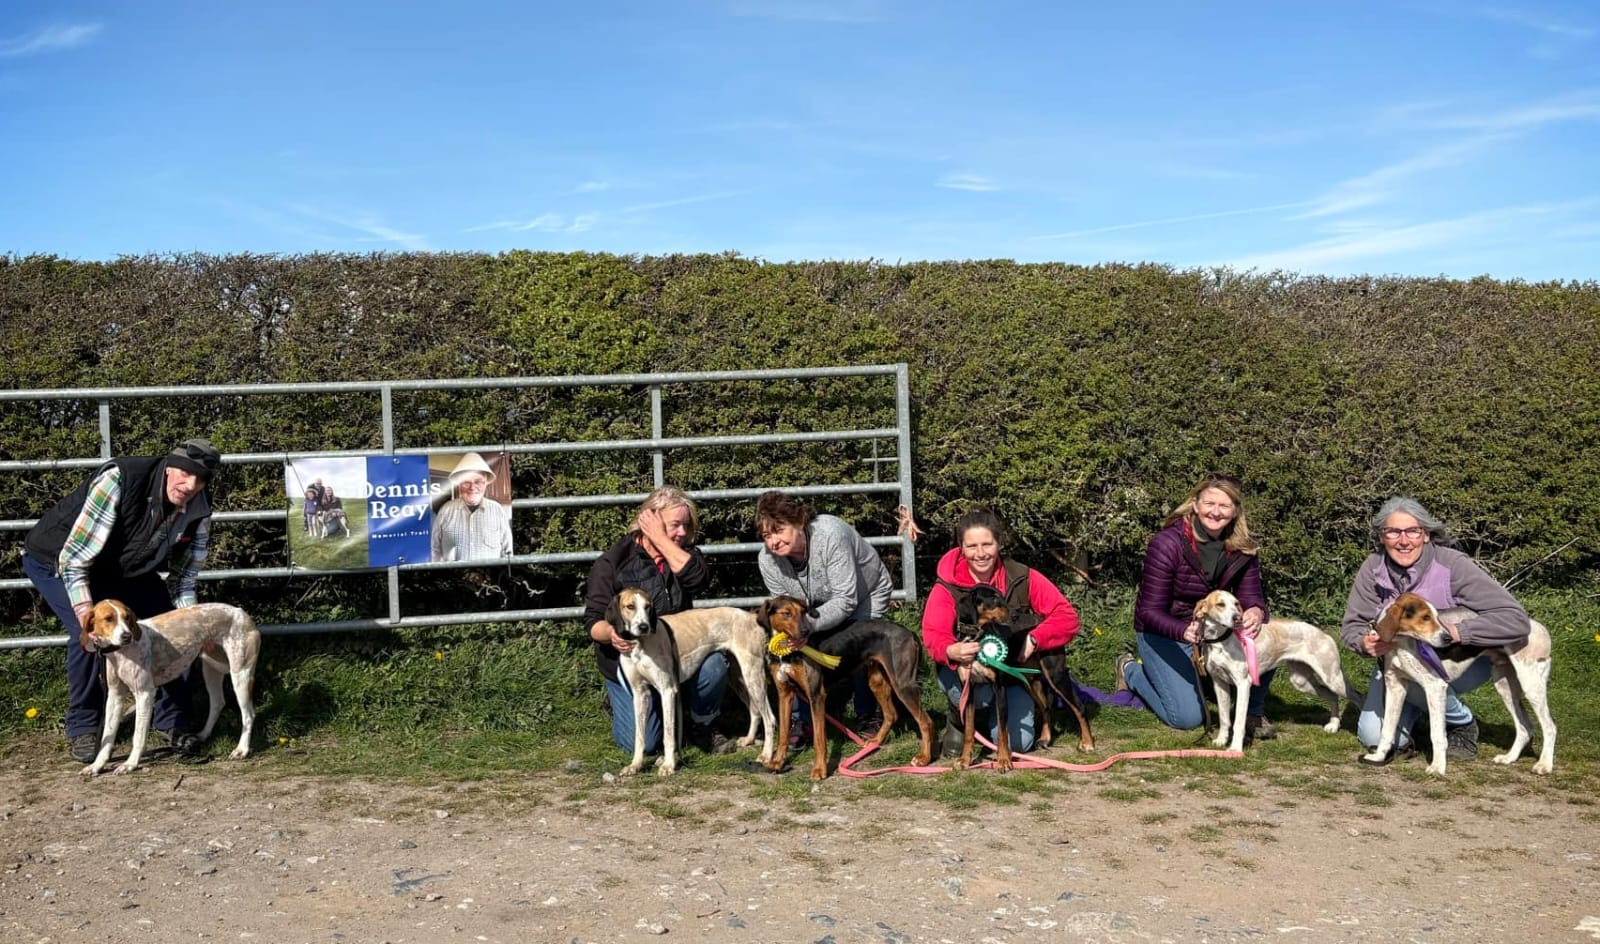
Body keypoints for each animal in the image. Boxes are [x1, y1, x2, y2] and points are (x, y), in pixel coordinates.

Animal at [79, 600, 261, 776]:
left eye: (127, 617)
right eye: (108, 618)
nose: (127, 636)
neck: (120, 653)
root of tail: (240, 611)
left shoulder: (145, 694)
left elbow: (138, 736)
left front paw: (130, 764)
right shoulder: (114, 697)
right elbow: (106, 738)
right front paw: (96, 765)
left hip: (240, 675)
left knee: (248, 715)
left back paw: (242, 750)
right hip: (211, 670)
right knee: (218, 703)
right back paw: (202, 735)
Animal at [606, 588, 776, 777]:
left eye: (647, 606)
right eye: (630, 606)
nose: (644, 627)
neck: (639, 643)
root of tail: (751, 617)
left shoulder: (667, 691)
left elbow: (668, 735)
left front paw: (669, 764)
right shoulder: (639, 694)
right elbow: (640, 736)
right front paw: (635, 765)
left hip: (753, 676)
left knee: (770, 718)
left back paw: (766, 754)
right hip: (740, 679)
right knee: (755, 710)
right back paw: (749, 739)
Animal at [756, 595, 935, 781]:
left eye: (803, 611)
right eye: (786, 613)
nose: (805, 631)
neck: (786, 651)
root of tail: (909, 633)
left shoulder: (816, 694)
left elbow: (819, 739)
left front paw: (820, 769)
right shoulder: (785, 693)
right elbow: (783, 734)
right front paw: (777, 762)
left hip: (903, 684)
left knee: (926, 722)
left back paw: (924, 758)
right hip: (876, 681)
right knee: (891, 714)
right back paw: (875, 742)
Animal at [1192, 590, 1353, 752]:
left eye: (1236, 604)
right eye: (1220, 604)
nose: (1238, 618)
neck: (1220, 641)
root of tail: (1325, 635)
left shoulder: (1243, 684)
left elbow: (1238, 723)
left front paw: (1236, 749)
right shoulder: (1220, 684)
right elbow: (1224, 719)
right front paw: (1221, 740)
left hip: (1333, 679)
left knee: (1355, 696)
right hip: (1302, 682)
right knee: (1332, 696)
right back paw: (1333, 725)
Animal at [1363, 591, 1556, 776]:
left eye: (1435, 617)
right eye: (1425, 617)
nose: (1448, 638)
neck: (1401, 643)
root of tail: (1537, 626)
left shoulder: (1435, 687)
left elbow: (1437, 735)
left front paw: (1438, 767)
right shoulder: (1395, 687)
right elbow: (1387, 730)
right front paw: (1379, 757)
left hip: (1531, 686)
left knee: (1549, 727)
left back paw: (1544, 765)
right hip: (1506, 688)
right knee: (1525, 728)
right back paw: (1509, 758)